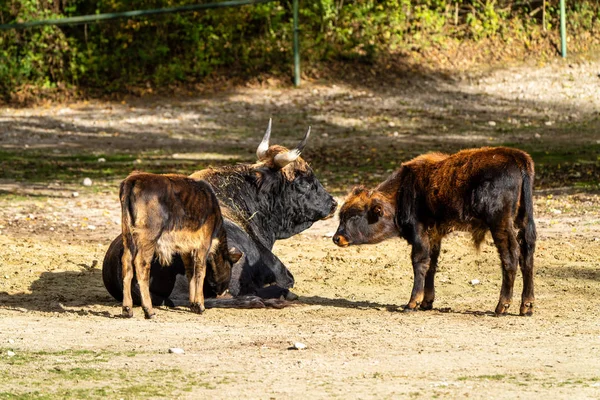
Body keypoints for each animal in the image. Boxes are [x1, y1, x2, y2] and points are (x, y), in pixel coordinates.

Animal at [119, 173, 241, 318]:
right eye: (229, 266)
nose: (223, 291)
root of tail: (133, 179)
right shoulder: (204, 244)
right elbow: (200, 271)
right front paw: (200, 305)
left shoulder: (186, 249)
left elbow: (190, 272)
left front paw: (193, 304)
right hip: (148, 236)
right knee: (141, 264)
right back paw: (149, 310)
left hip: (128, 235)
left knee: (126, 263)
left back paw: (127, 309)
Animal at [336, 147, 536, 316]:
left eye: (355, 216)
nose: (337, 238)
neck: (403, 190)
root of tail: (517, 157)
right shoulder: (434, 235)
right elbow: (432, 265)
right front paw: (426, 302)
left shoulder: (420, 232)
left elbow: (419, 263)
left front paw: (412, 303)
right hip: (523, 223)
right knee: (526, 258)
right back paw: (526, 306)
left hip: (500, 224)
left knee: (510, 257)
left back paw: (502, 305)